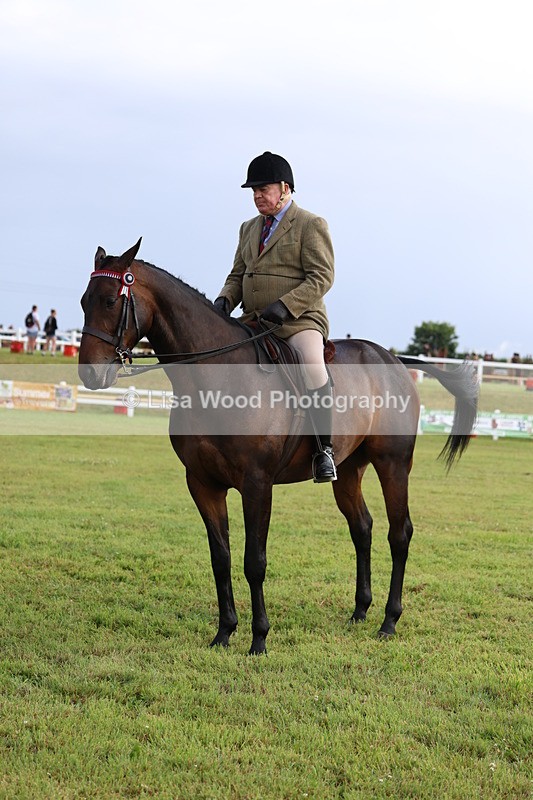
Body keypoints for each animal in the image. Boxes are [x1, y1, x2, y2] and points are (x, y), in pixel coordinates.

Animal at [78, 239, 478, 655]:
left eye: (110, 301)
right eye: (83, 301)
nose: (89, 372)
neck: (217, 379)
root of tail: (393, 360)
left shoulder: (257, 484)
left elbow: (254, 562)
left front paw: (259, 639)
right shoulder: (203, 484)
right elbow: (220, 558)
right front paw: (224, 633)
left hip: (393, 465)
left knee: (399, 534)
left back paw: (389, 620)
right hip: (348, 470)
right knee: (362, 528)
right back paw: (360, 612)